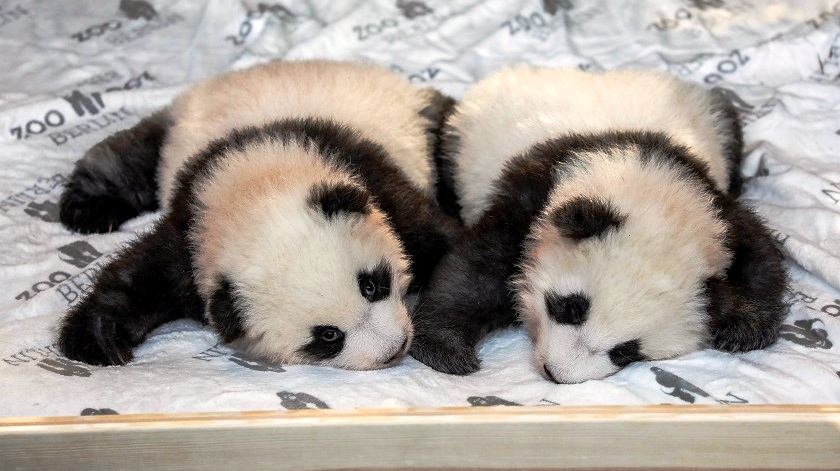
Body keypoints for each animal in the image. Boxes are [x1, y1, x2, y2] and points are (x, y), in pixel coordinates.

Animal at [58, 60, 459, 370]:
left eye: (372, 285)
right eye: (328, 336)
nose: (394, 348)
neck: (254, 179)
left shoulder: (367, 172)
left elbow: (445, 247)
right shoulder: (192, 228)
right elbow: (137, 279)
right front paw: (96, 340)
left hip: (420, 123)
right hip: (174, 136)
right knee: (131, 157)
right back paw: (86, 207)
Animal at [409, 66, 788, 383]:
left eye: (626, 351)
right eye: (569, 307)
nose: (555, 372)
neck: (644, 183)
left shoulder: (712, 202)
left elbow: (760, 255)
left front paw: (745, 326)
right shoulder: (536, 194)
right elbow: (476, 272)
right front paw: (445, 348)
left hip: (717, 122)